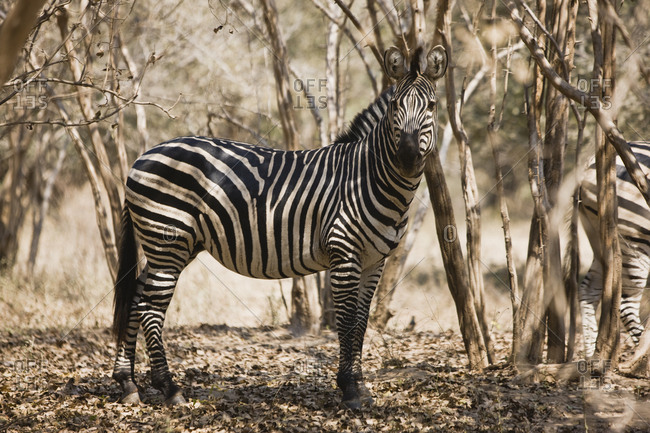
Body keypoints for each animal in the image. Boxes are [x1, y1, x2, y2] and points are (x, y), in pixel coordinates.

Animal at [111, 45, 448, 409]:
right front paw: (349, 389)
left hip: (172, 246)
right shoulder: (344, 253)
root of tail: (142, 157)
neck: (367, 177)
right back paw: (169, 388)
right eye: (396, 105)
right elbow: (345, 322)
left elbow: (360, 323)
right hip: (167, 241)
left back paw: (128, 383)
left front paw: (360, 386)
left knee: (135, 300)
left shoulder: (375, 260)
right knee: (150, 309)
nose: (408, 157)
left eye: (432, 105)